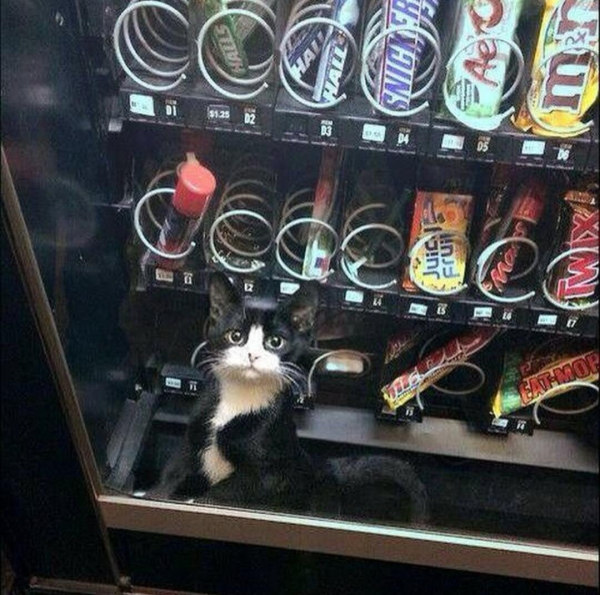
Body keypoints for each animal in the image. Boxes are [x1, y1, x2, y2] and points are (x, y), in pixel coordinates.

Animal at [150, 272, 432, 524]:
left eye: (275, 342)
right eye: (235, 336)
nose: (252, 355)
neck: (239, 397)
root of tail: (322, 468)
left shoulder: (270, 473)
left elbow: (224, 493)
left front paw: (196, 501)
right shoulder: (191, 442)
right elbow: (173, 473)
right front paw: (157, 494)